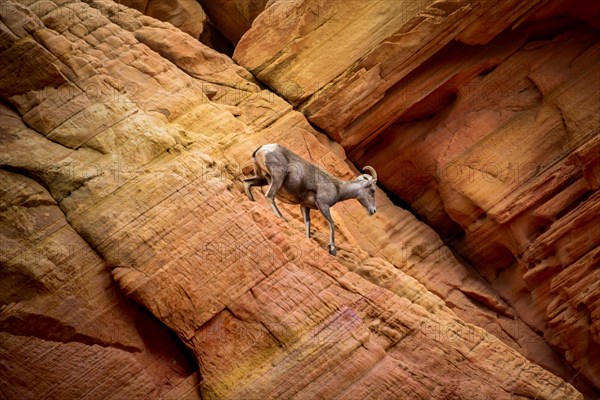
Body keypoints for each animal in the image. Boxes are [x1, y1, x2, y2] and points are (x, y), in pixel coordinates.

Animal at [243, 145, 376, 256]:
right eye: (372, 191)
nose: (373, 211)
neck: (338, 189)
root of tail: (263, 148)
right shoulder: (323, 205)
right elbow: (332, 224)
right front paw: (332, 250)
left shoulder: (304, 206)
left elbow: (307, 224)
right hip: (277, 178)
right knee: (269, 196)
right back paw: (282, 218)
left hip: (262, 178)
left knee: (247, 183)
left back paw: (252, 201)